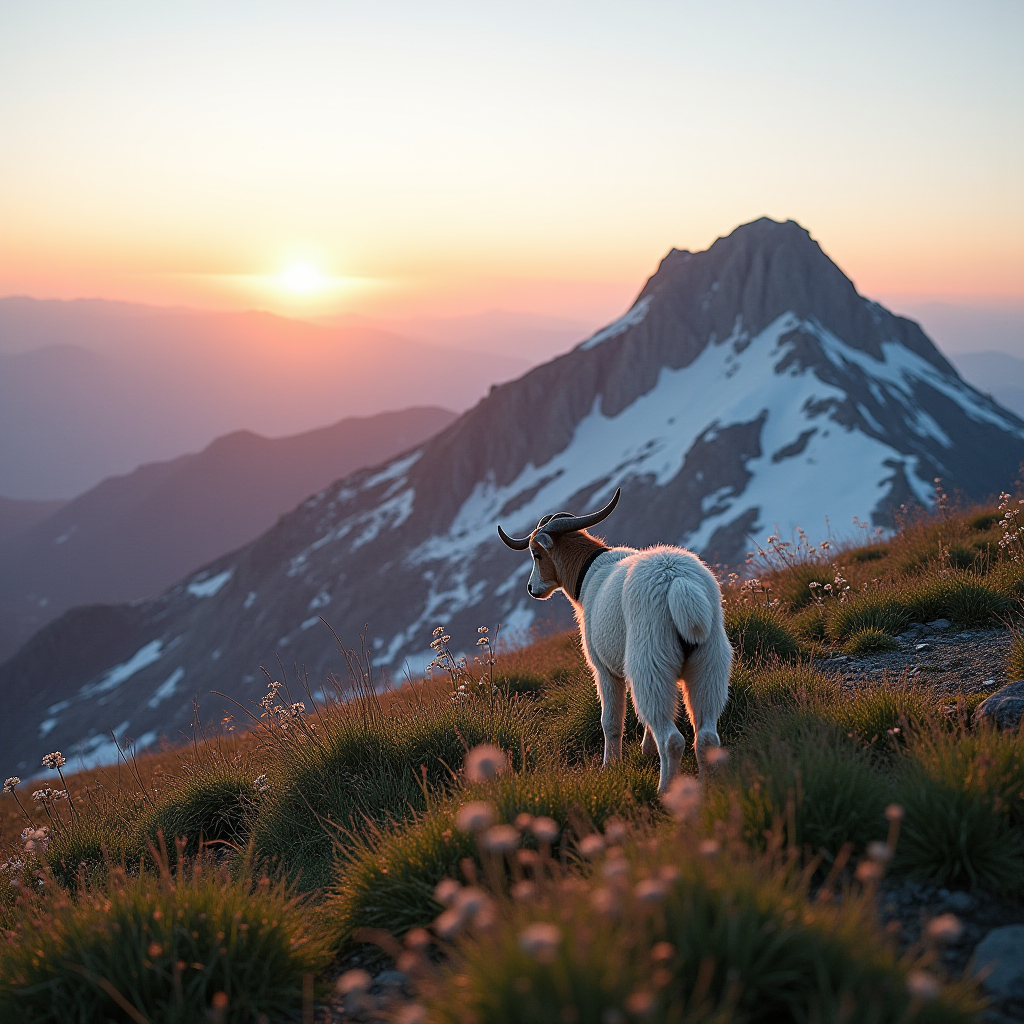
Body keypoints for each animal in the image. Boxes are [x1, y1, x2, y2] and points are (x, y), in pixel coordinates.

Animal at [499, 487, 733, 790]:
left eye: (536, 553)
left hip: (652, 664)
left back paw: (665, 790)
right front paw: (645, 749)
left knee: (672, 739)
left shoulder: (605, 669)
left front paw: (609, 766)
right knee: (705, 736)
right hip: (708, 665)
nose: (531, 588)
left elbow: (610, 722)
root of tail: (677, 582)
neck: (590, 571)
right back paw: (707, 787)